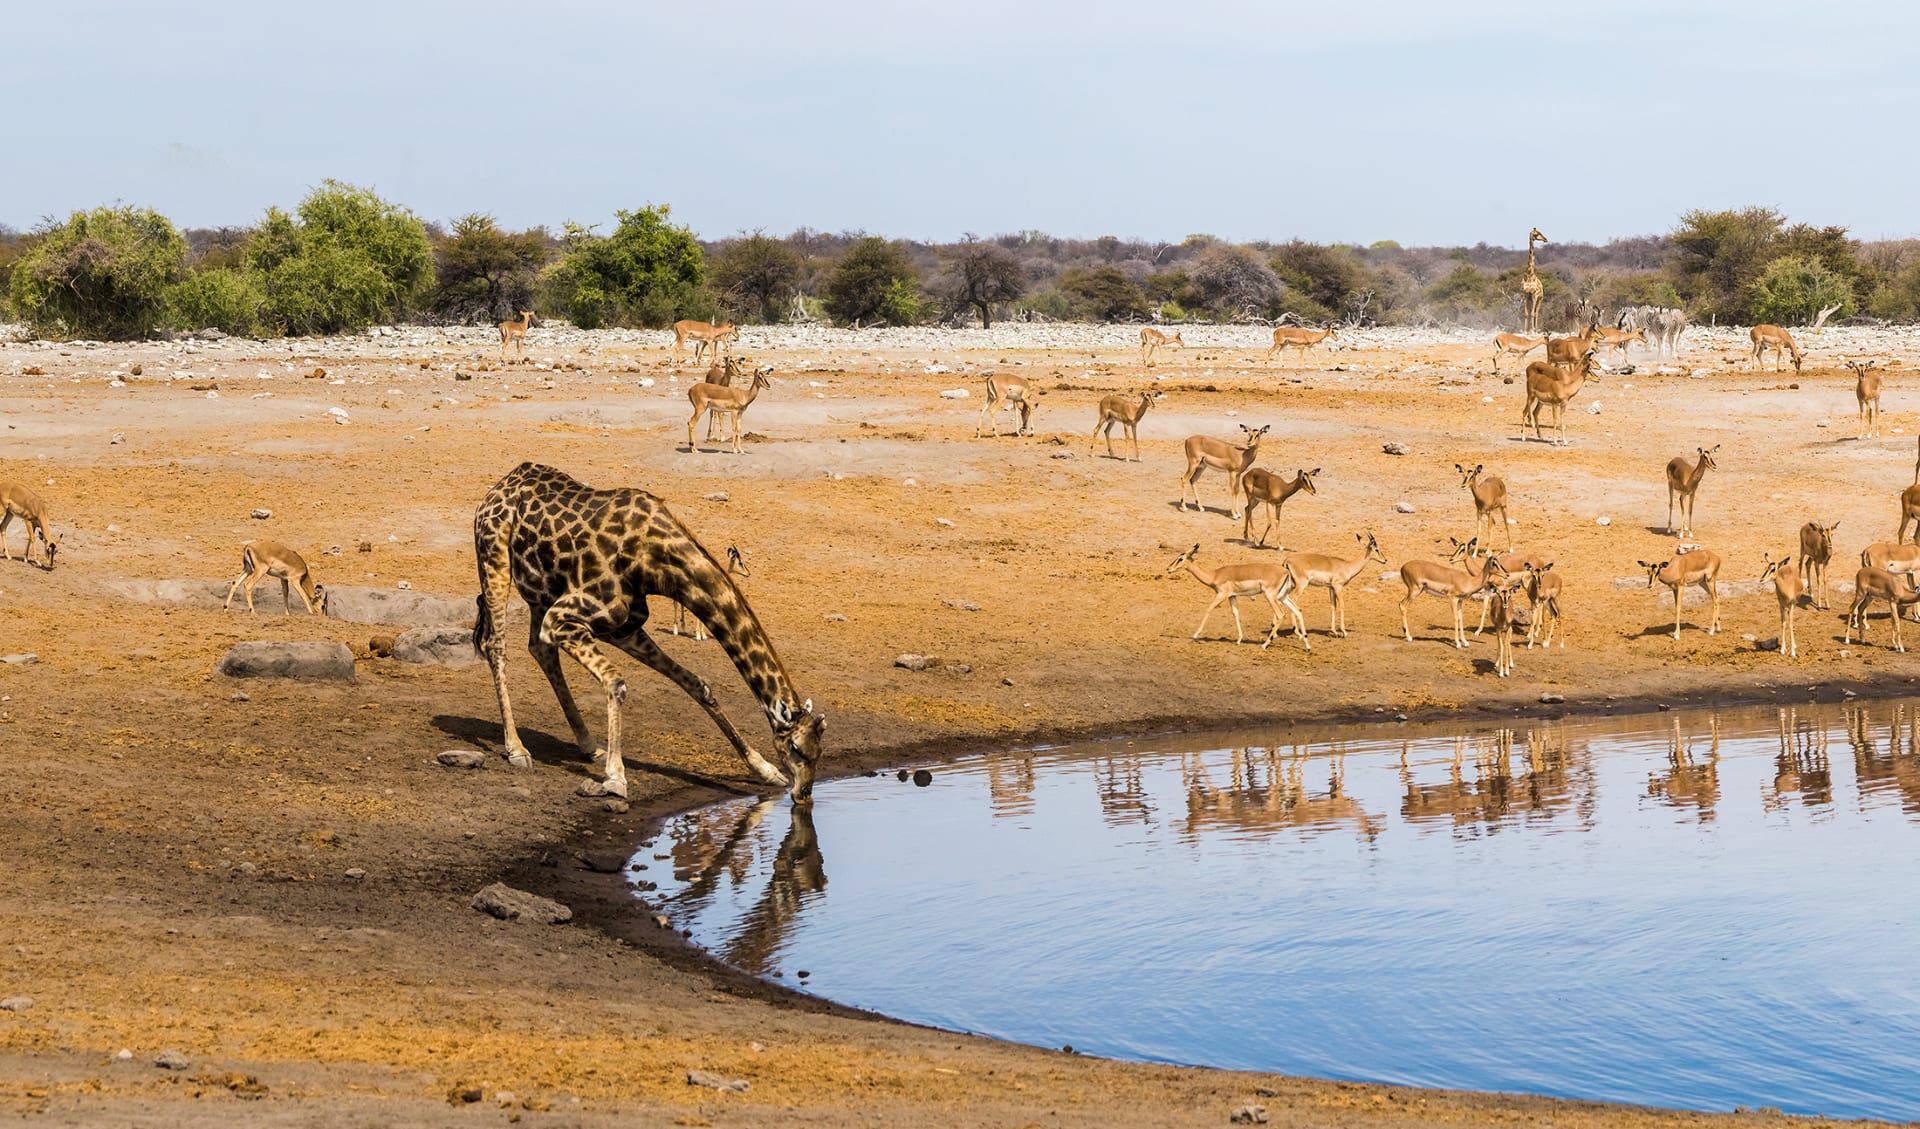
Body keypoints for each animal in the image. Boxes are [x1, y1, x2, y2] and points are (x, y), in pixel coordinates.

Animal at [474, 460, 825, 802]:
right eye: (795, 748)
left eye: (819, 752)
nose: (804, 794)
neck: (657, 561)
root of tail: (496, 489)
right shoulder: (561, 619)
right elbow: (616, 682)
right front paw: (617, 777)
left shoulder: (622, 627)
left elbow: (698, 685)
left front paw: (764, 769)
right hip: (494, 560)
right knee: (496, 646)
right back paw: (517, 749)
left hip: (541, 592)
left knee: (540, 649)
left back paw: (589, 746)